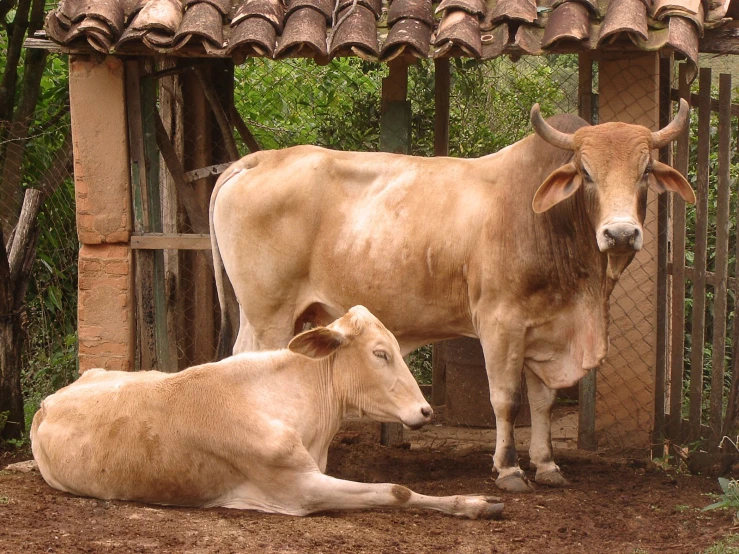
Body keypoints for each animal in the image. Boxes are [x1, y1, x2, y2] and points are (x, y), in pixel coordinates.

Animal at [28, 306, 502, 516]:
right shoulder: (298, 489)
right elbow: (396, 489)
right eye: (381, 353)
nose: (425, 410)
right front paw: (475, 503)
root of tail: (47, 401)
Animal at [211, 98, 696, 488]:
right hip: (269, 314)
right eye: (587, 173)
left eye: (645, 172)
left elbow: (543, 402)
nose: (620, 234)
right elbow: (507, 400)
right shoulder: (500, 324)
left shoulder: (544, 328)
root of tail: (260, 159)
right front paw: (509, 469)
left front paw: (547, 465)